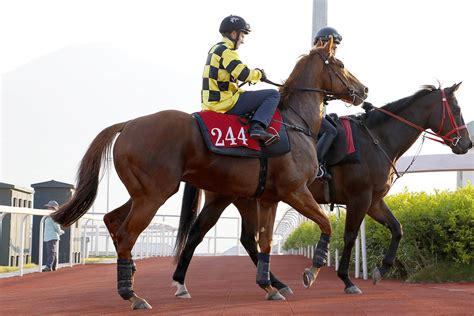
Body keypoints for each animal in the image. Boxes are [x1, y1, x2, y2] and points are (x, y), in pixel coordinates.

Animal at [52, 40, 370, 310]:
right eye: (340, 64)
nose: (364, 90)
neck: (295, 123)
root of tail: (128, 124)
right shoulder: (295, 191)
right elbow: (325, 224)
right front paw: (311, 272)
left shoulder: (269, 198)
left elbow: (265, 242)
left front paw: (269, 286)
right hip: (155, 195)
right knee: (128, 234)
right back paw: (133, 295)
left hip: (146, 193)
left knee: (113, 220)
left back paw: (133, 277)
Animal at [172, 82, 472, 296]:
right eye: (457, 110)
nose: (466, 144)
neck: (376, 139)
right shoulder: (360, 198)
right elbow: (349, 236)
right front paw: (346, 279)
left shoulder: (374, 201)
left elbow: (397, 228)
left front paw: (381, 269)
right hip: (223, 197)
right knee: (199, 233)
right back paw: (181, 282)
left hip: (246, 198)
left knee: (247, 239)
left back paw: (275, 284)